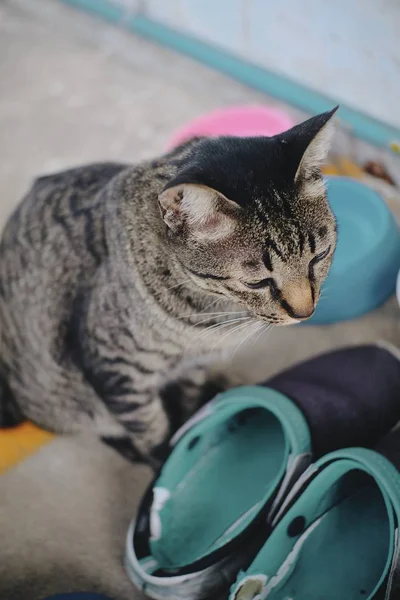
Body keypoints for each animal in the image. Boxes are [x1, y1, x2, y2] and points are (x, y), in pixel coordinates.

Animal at [0, 106, 338, 464]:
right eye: (257, 281)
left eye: (319, 256)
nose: (304, 312)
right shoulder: (117, 367)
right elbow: (150, 427)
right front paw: (166, 458)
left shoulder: (196, 363)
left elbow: (187, 400)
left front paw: (192, 423)